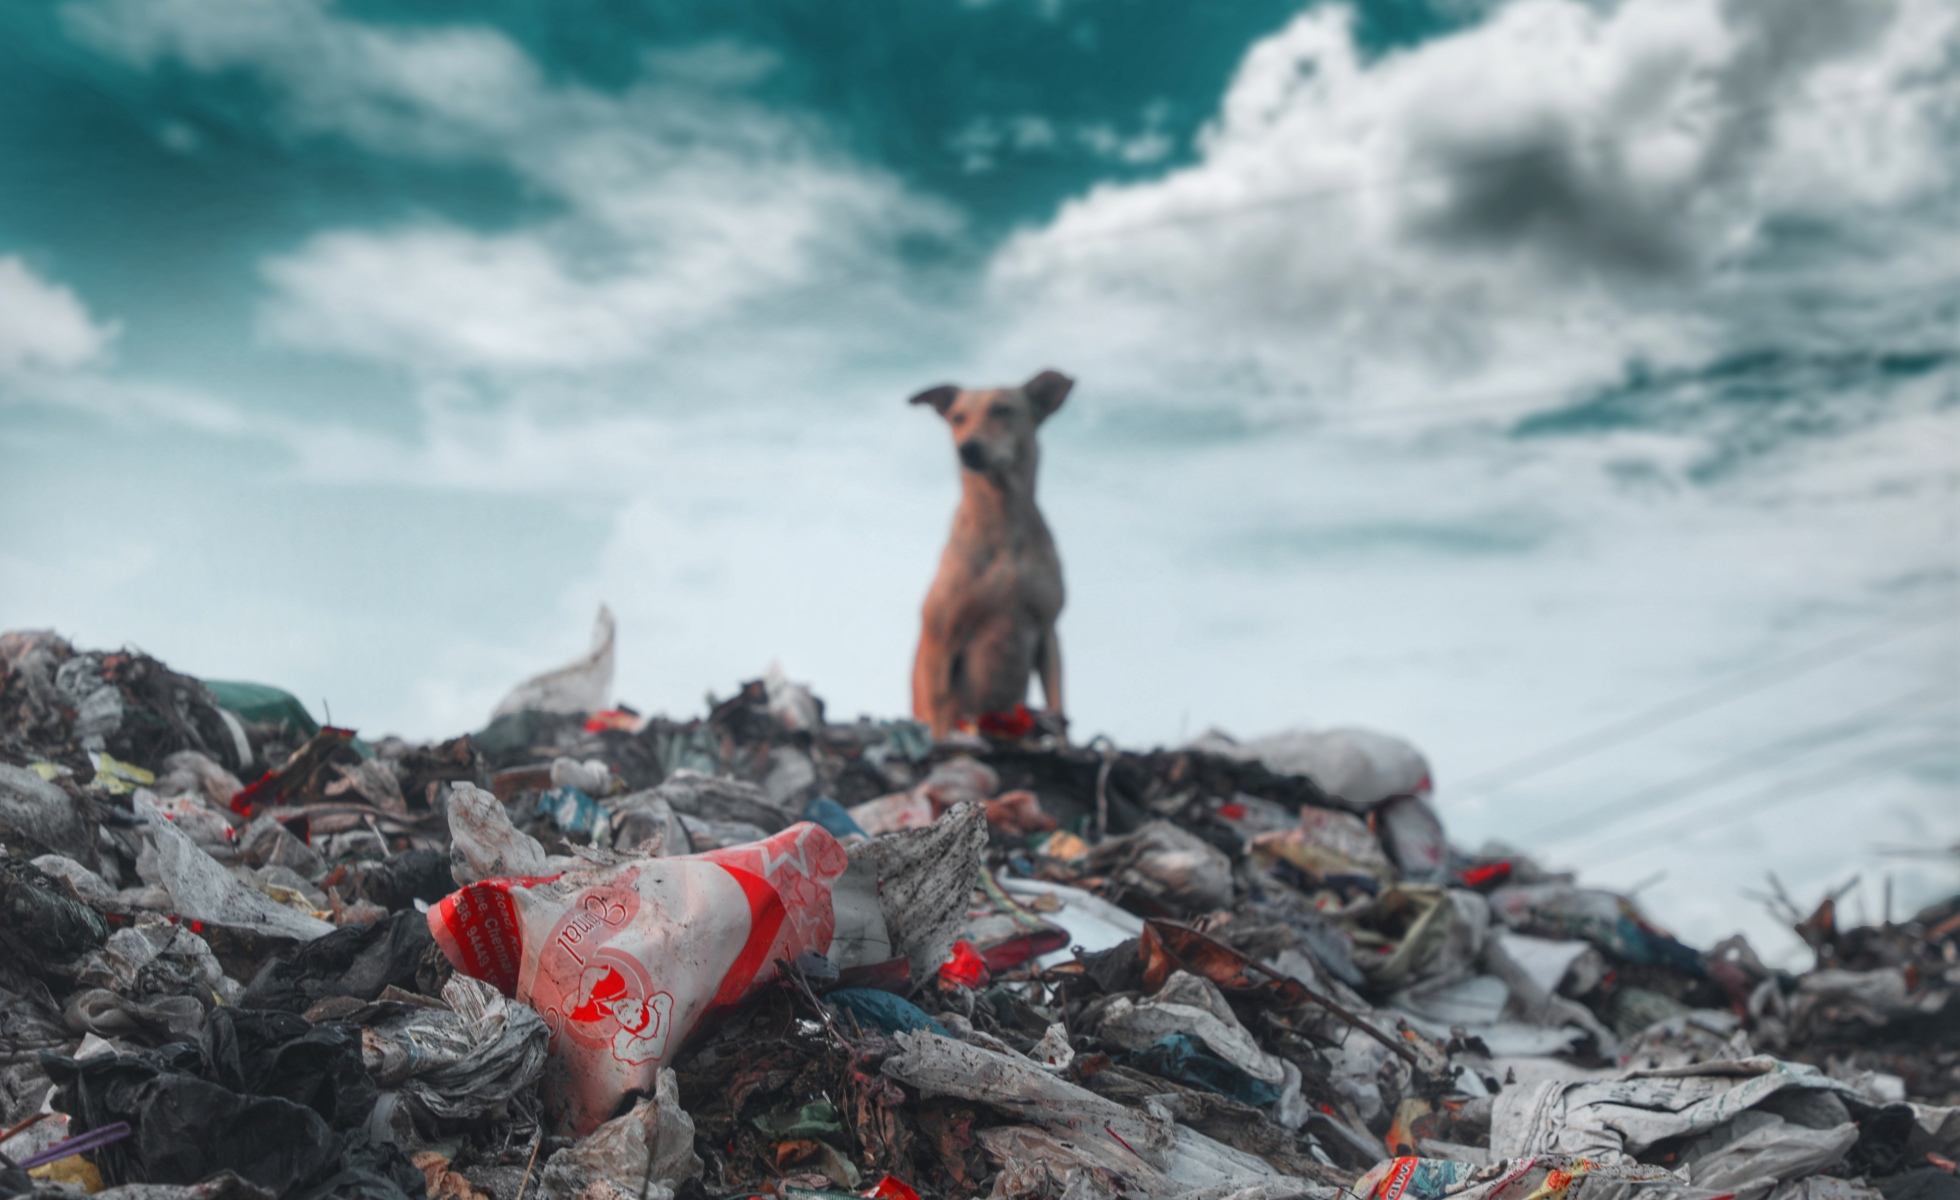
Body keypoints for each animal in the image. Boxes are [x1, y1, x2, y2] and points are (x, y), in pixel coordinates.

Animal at [901, 370, 1074, 737]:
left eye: (1003, 409)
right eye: (958, 418)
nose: (967, 448)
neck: (1001, 520)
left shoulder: (1048, 631)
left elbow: (1058, 708)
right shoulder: (941, 639)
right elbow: (939, 712)